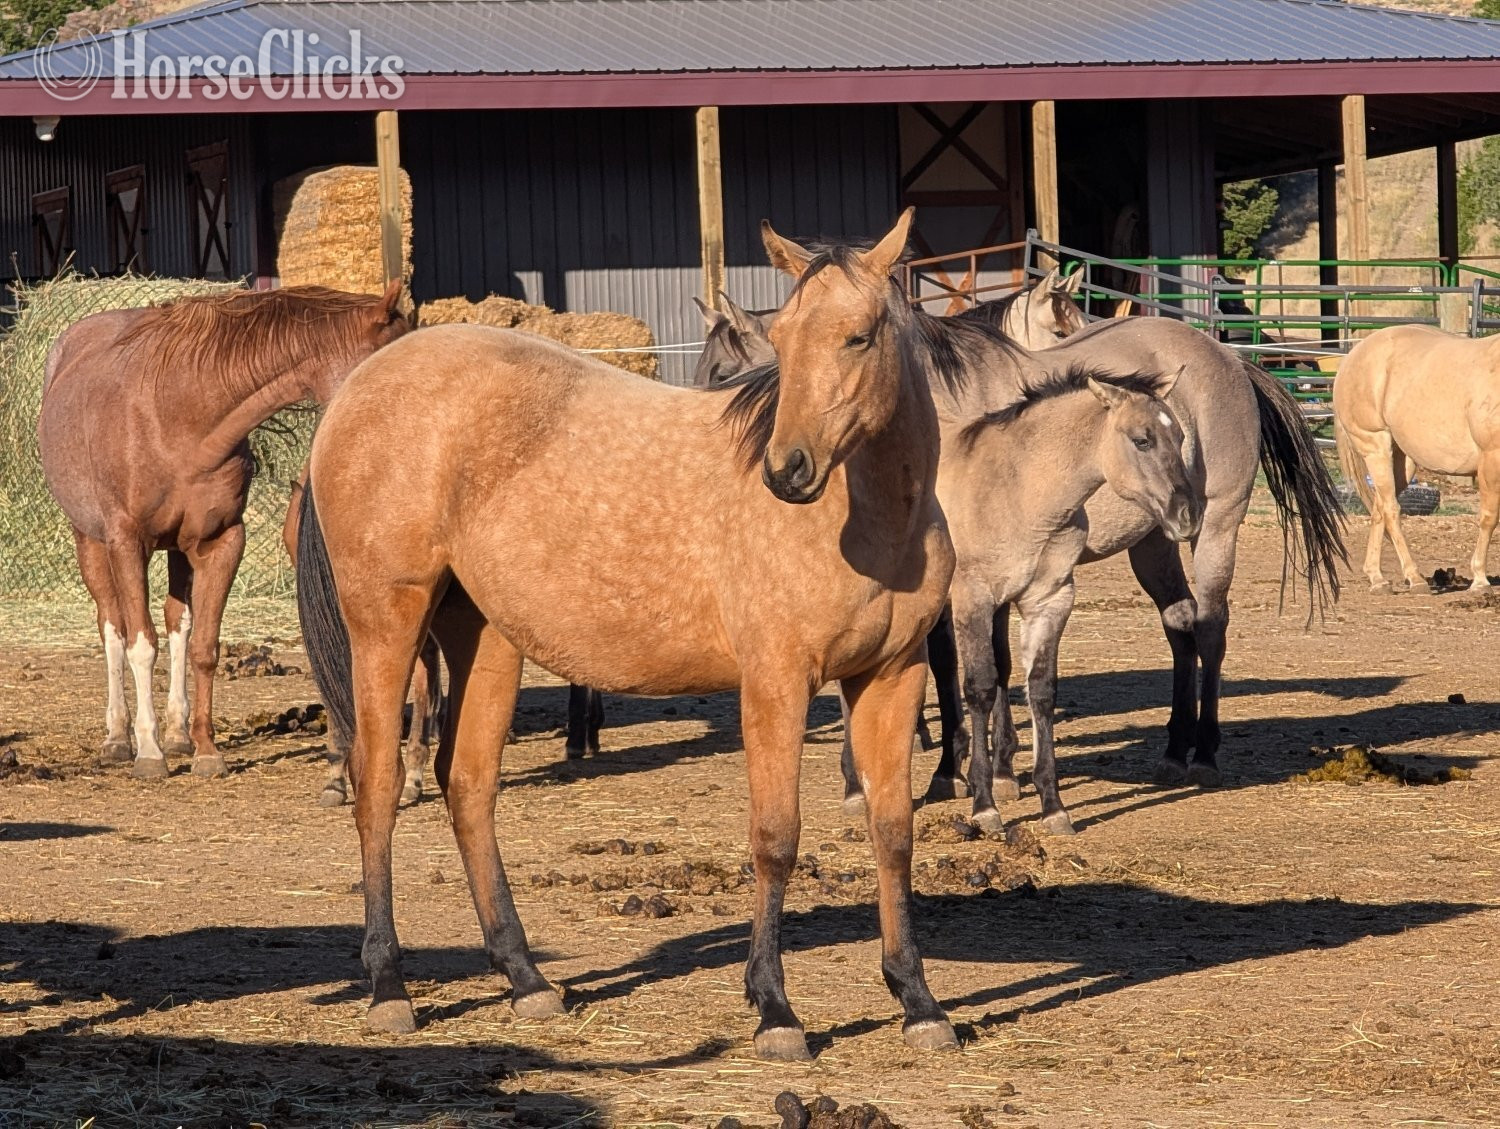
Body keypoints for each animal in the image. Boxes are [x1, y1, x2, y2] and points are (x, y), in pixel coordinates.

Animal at [38, 282, 408, 781]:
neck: (179, 417)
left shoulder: (222, 542)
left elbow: (204, 647)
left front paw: (206, 750)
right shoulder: (127, 542)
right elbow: (140, 644)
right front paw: (149, 753)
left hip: (178, 549)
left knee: (177, 625)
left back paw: (177, 734)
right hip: (90, 541)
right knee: (112, 627)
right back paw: (118, 738)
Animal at [294, 210, 962, 1059]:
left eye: (859, 336)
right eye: (782, 340)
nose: (787, 470)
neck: (870, 519)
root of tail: (355, 388)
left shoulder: (893, 674)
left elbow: (893, 830)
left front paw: (918, 999)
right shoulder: (776, 681)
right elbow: (776, 837)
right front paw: (775, 1008)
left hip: (484, 634)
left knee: (468, 784)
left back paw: (527, 979)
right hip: (386, 623)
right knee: (378, 784)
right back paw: (388, 986)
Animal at [944, 366, 1198, 836]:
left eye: (1181, 437)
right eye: (1142, 439)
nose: (1187, 516)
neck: (1019, 490)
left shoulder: (1051, 600)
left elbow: (1041, 690)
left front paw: (1053, 806)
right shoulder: (972, 599)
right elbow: (981, 688)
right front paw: (985, 806)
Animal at [1334, 325, 1500, 592]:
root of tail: (1353, 354)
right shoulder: (1491, 459)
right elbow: (1488, 518)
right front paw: (1480, 580)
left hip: (1403, 460)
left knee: (1379, 508)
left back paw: (1377, 578)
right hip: (1375, 446)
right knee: (1391, 509)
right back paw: (1415, 578)